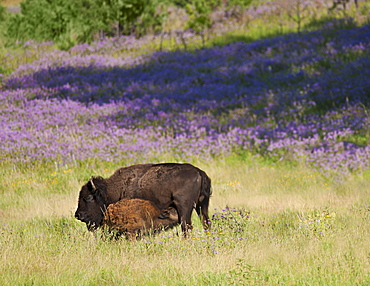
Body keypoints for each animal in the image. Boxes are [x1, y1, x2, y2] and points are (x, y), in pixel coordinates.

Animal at [74, 163, 211, 235]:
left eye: (89, 197)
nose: (78, 215)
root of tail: (199, 172)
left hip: (184, 208)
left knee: (186, 227)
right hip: (202, 205)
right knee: (206, 223)